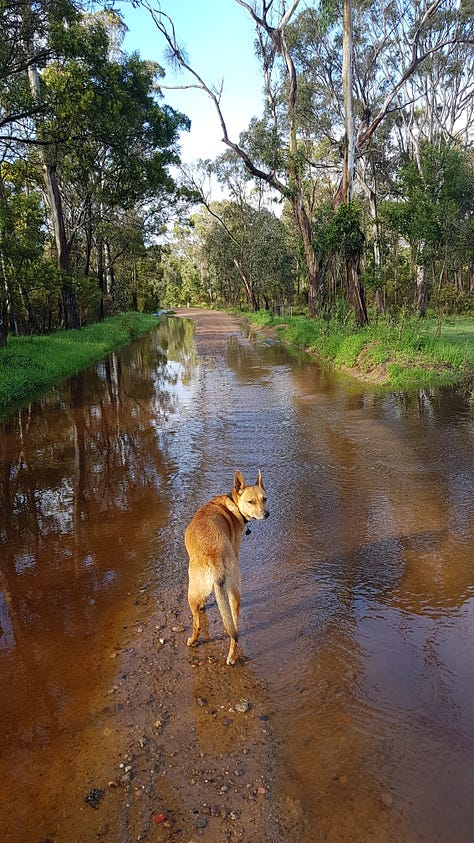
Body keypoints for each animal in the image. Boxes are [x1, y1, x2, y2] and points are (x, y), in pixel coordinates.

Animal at [183, 468, 268, 664]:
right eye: (251, 501)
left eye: (264, 499)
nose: (267, 514)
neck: (232, 505)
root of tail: (214, 558)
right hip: (232, 596)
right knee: (233, 630)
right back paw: (231, 655)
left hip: (193, 593)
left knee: (198, 625)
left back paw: (195, 642)